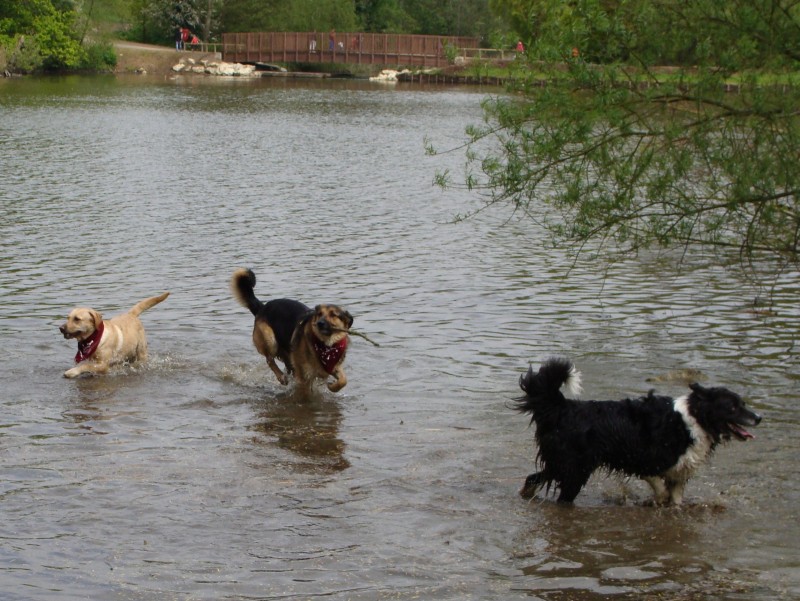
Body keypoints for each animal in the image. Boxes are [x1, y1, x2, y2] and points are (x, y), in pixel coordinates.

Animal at [516, 358, 760, 504]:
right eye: (732, 407)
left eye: (743, 404)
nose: (759, 418)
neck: (695, 419)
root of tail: (563, 406)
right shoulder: (645, 459)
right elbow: (660, 489)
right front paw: (658, 502)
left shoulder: (679, 472)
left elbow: (676, 501)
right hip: (575, 469)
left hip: (563, 464)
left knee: (533, 477)